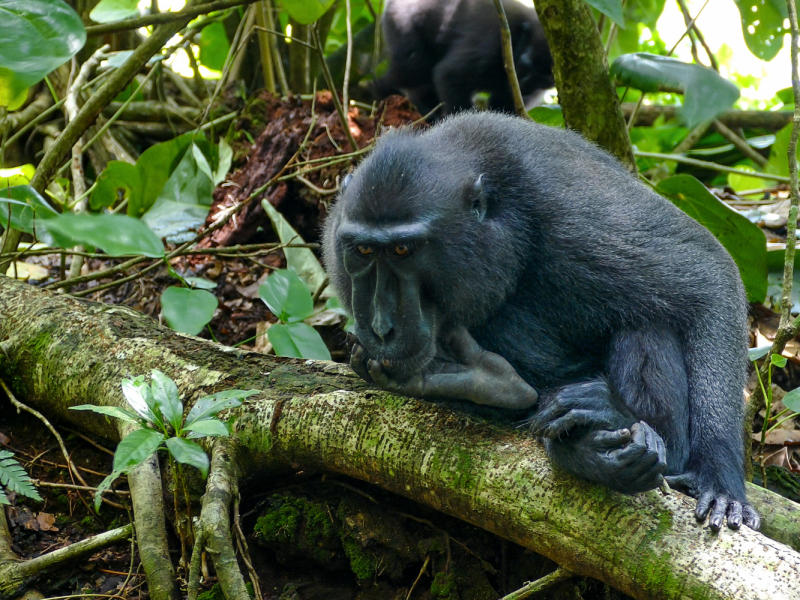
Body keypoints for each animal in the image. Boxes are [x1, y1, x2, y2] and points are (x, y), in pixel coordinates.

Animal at [322, 111, 760, 528]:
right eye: (362, 250)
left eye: (402, 250)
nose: (382, 327)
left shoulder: (571, 210)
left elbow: (708, 274)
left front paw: (719, 478)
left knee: (647, 326)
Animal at [378, 0, 552, 115]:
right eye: (526, 64)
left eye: (543, 79)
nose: (524, 86)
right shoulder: (490, 41)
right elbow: (449, 75)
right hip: (401, 22)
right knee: (410, 71)